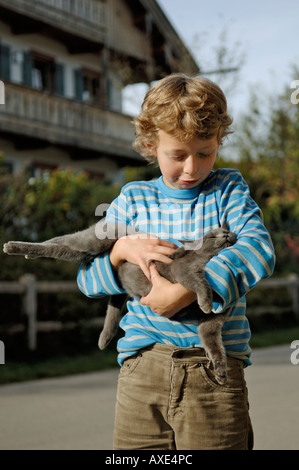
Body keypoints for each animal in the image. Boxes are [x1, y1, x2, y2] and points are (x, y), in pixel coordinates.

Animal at [2, 220, 237, 386]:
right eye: (212, 235)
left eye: (225, 231)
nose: (226, 233)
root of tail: (118, 222)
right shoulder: (182, 269)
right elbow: (200, 281)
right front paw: (206, 301)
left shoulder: (211, 324)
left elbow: (214, 344)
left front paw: (221, 374)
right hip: (94, 242)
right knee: (60, 242)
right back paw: (13, 246)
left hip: (85, 253)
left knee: (61, 246)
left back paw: (26, 253)